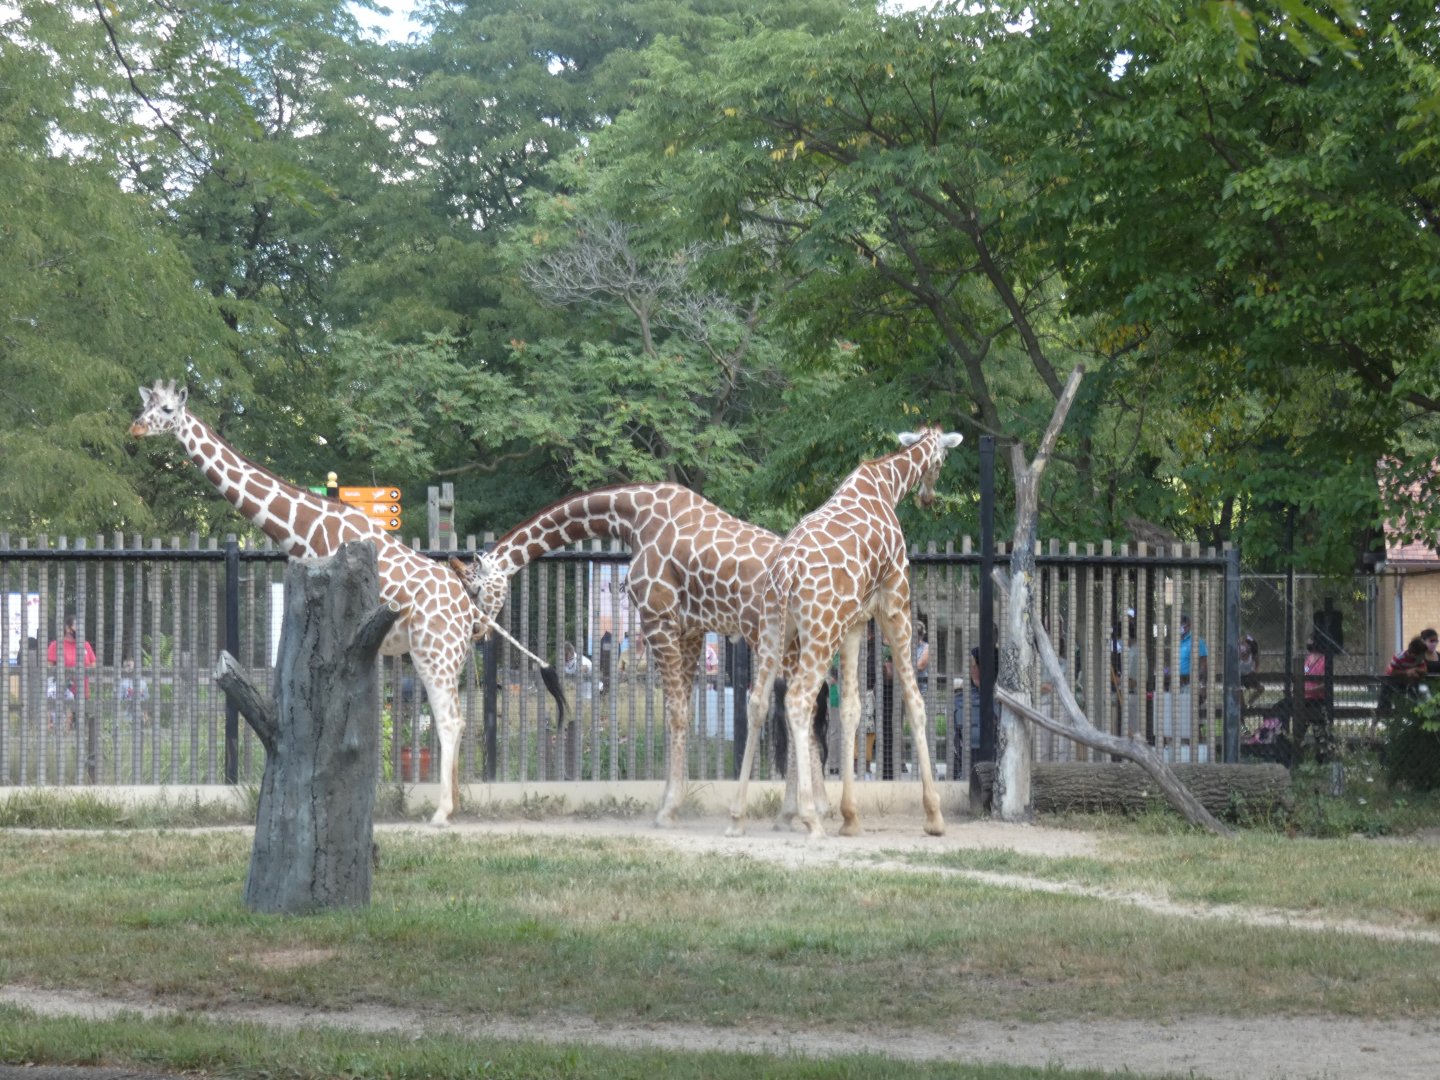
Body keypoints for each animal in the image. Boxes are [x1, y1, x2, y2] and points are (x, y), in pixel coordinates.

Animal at [129, 379, 501, 826]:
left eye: (167, 410)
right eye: (144, 405)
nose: (134, 429)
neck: (306, 529)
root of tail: (470, 611)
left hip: (435, 653)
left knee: (450, 721)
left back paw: (442, 812)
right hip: (447, 656)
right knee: (459, 719)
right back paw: (455, 803)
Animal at [449, 483, 826, 827]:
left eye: (475, 588)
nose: (476, 629)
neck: (633, 516)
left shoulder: (658, 620)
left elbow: (675, 712)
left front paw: (668, 810)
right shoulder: (690, 629)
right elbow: (681, 708)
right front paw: (671, 800)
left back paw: (806, 811)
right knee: (802, 709)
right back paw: (802, 811)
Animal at [729, 426, 963, 839]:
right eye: (942, 459)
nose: (928, 495)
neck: (887, 484)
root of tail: (786, 573)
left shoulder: (855, 621)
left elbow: (853, 709)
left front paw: (851, 819)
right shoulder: (895, 601)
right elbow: (915, 703)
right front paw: (935, 817)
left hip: (774, 631)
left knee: (758, 702)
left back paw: (738, 817)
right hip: (821, 633)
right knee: (798, 701)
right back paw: (809, 817)